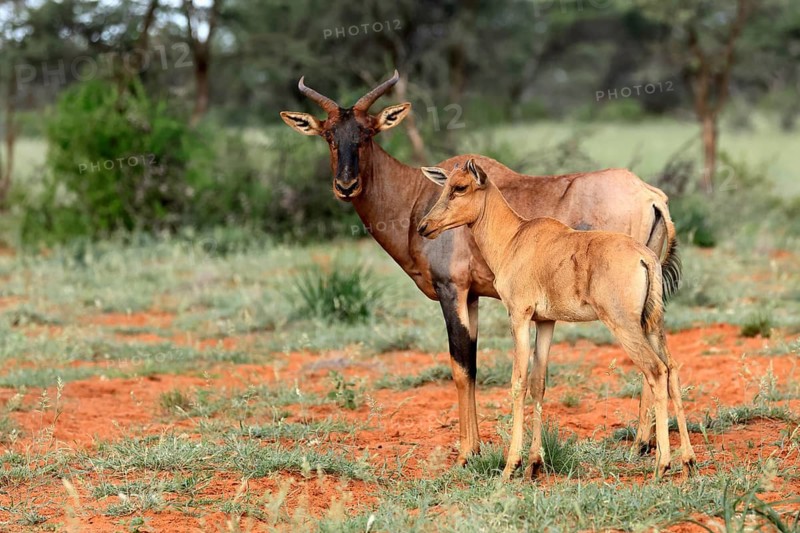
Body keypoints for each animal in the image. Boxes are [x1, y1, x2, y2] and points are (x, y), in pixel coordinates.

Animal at [417, 160, 697, 480]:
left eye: (461, 187)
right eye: (445, 186)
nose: (424, 227)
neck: (516, 237)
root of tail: (644, 257)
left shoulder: (519, 316)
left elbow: (518, 382)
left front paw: (511, 466)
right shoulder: (545, 322)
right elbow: (538, 383)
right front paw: (533, 464)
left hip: (624, 326)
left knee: (656, 371)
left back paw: (662, 464)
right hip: (651, 324)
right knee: (672, 369)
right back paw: (688, 460)